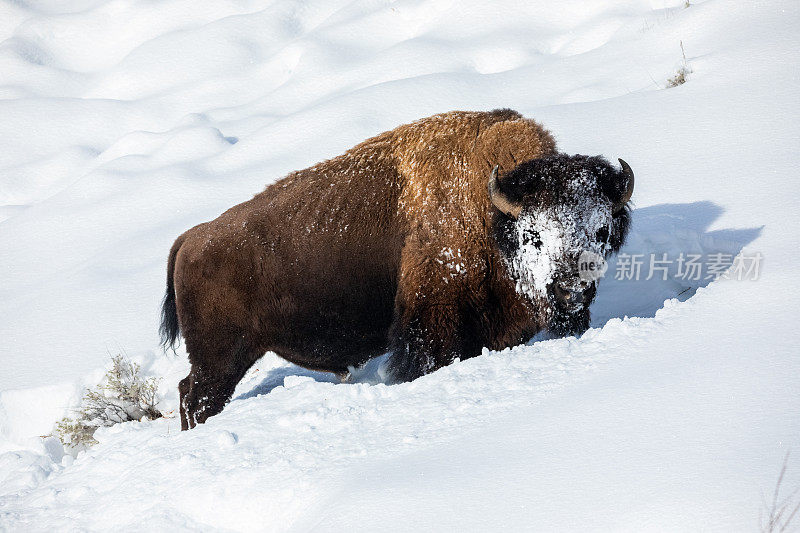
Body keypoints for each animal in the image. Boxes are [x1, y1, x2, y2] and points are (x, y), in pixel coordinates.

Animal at [161, 108, 632, 428]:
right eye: (532, 235)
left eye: (602, 229)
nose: (573, 289)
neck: (491, 212)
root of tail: (191, 239)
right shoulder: (430, 324)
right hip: (221, 358)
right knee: (195, 396)